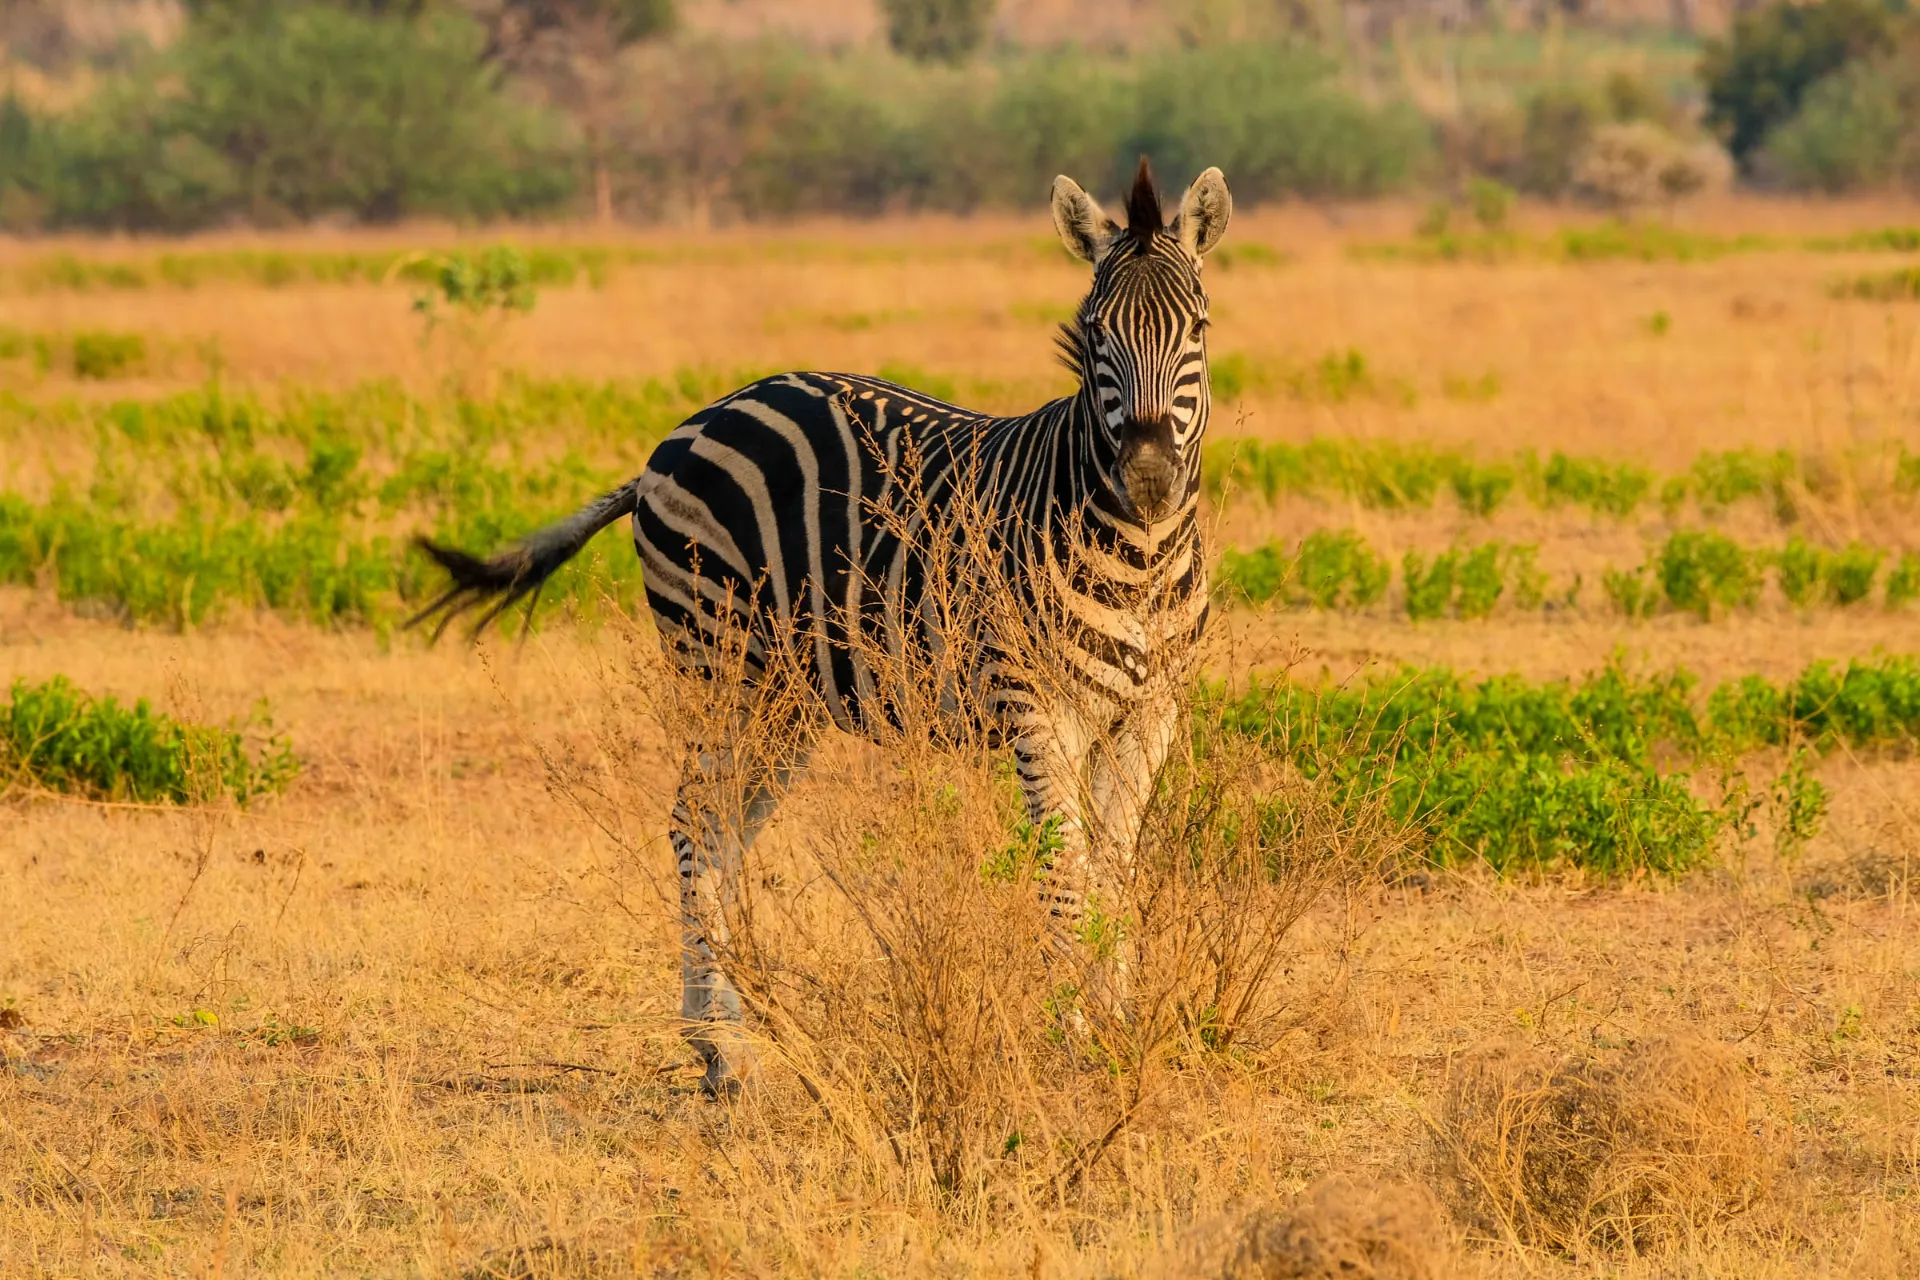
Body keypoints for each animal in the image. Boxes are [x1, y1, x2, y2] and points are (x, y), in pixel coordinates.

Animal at [413, 158, 1233, 1095]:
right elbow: (1065, 868)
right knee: (695, 821)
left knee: (726, 827)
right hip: (717, 655)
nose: (1149, 478)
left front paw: (1118, 1028)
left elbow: (1115, 868)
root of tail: (693, 423)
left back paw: (734, 1031)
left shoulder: (1151, 713)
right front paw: (1071, 1037)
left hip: (785, 696)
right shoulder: (1037, 707)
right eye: (1095, 332)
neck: (1138, 553)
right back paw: (721, 1045)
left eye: (1198, 327)